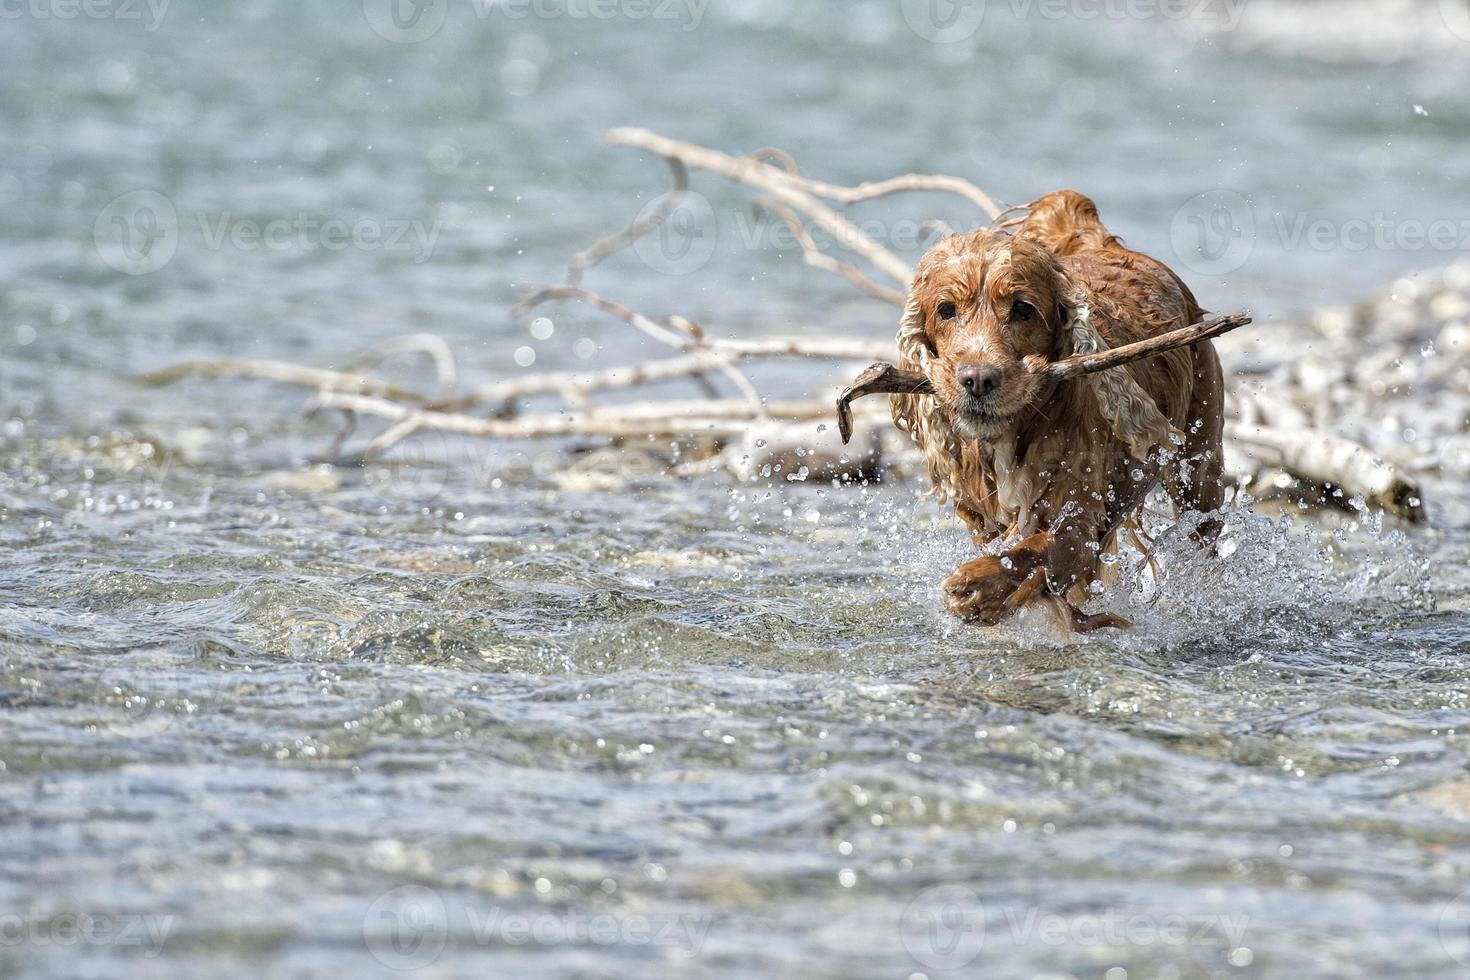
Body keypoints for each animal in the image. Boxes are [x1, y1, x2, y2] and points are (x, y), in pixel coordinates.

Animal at [887, 192, 1223, 637]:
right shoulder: (981, 514)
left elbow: (1035, 549)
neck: (1012, 433)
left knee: (1204, 528)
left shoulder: (1079, 517)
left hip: (1201, 466)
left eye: (1023, 309)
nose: (978, 380)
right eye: (945, 309)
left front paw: (977, 585)